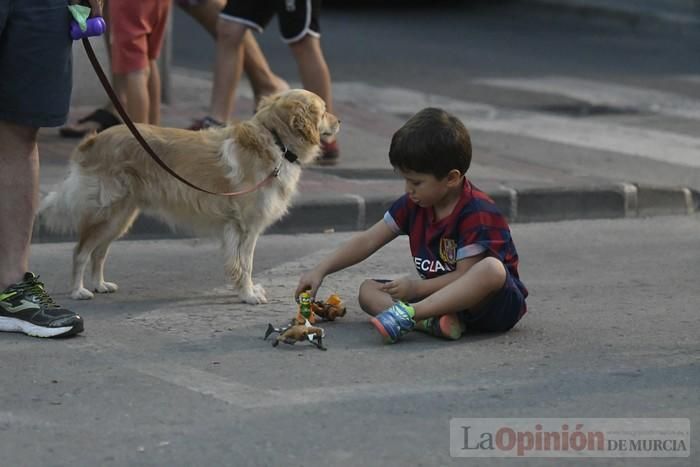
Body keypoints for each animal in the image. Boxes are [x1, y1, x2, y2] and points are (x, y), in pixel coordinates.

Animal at [39, 89, 340, 306]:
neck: (276, 142)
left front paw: (245, 290)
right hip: (105, 214)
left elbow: (242, 264)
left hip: (120, 218)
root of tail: (93, 141)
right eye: (324, 109)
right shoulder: (245, 227)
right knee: (80, 252)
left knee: (99, 253)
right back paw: (78, 291)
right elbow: (245, 265)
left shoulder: (239, 229)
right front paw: (247, 294)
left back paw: (100, 285)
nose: (339, 121)